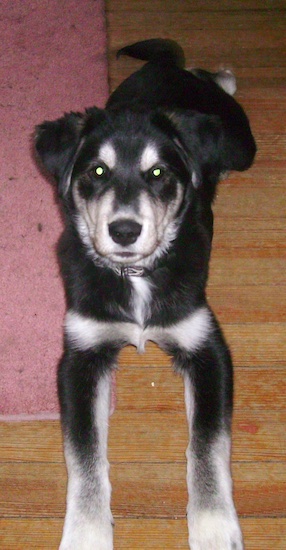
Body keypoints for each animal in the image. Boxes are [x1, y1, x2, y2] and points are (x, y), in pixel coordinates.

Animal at [34, 40, 256, 550]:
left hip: (242, 144)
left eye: (158, 172)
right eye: (97, 170)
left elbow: (208, 443)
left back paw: (222, 78)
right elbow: (83, 452)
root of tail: (166, 70)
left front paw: (214, 525)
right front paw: (86, 532)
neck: (134, 274)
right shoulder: (81, 353)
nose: (124, 230)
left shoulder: (206, 345)